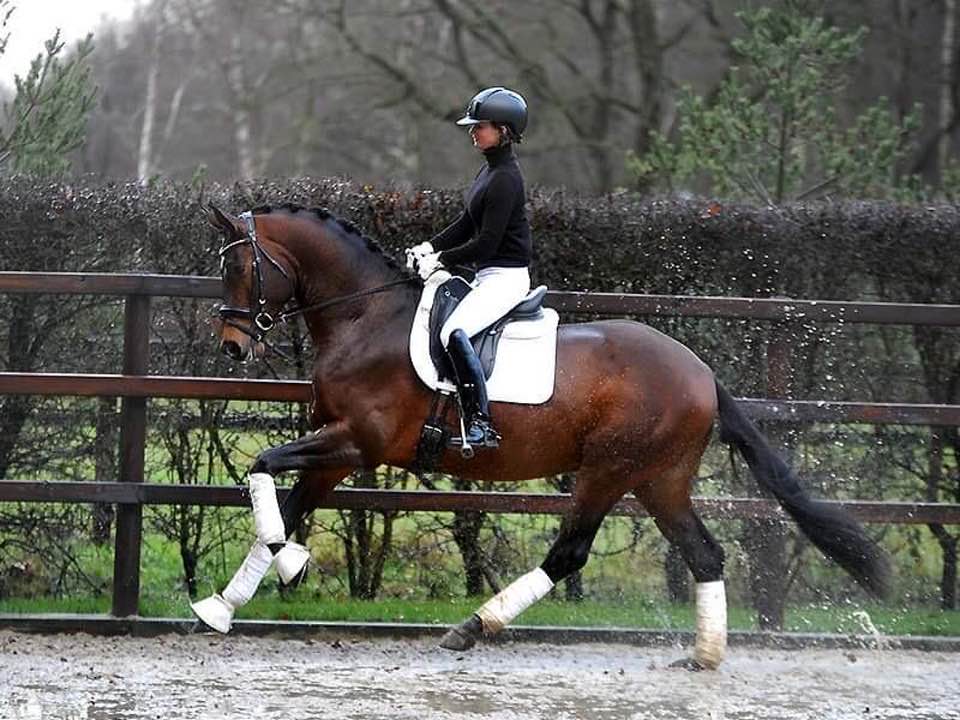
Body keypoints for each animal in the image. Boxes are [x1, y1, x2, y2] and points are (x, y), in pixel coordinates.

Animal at [195, 202, 892, 668]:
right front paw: (225, 604)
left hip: (609, 471)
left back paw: (474, 626)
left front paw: (288, 564)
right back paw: (703, 657)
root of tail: (700, 370)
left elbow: (262, 466)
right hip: (659, 479)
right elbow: (282, 506)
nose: (231, 346)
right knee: (704, 555)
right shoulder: (334, 451)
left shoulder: (356, 442)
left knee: (569, 553)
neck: (365, 316)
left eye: (242, 268)